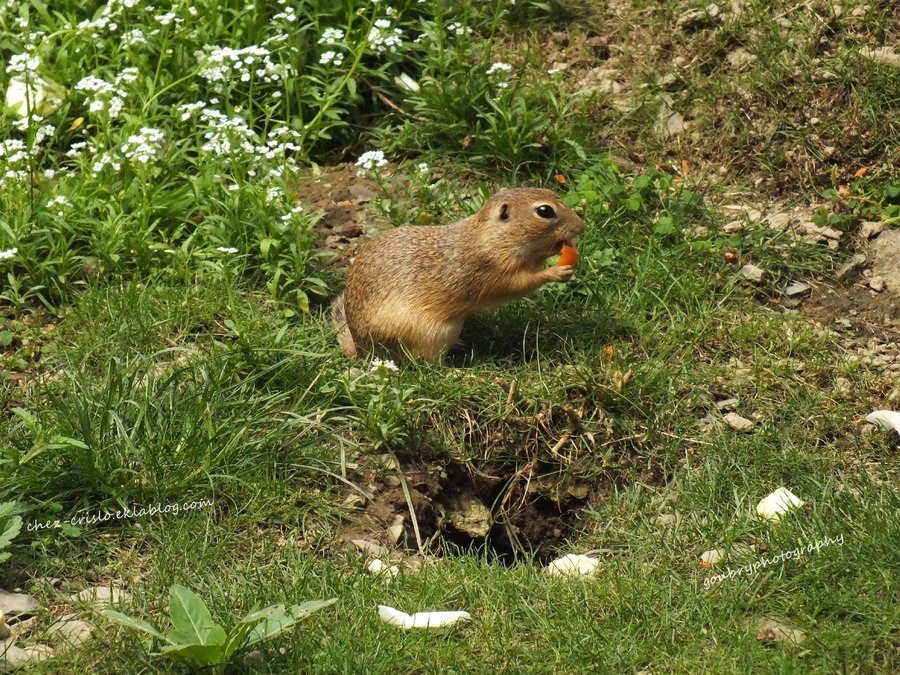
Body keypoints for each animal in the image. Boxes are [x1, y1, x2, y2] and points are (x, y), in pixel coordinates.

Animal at [334, 187, 588, 362]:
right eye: (545, 211)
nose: (582, 226)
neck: (491, 237)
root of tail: (365, 352)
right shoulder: (495, 272)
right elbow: (522, 283)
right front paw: (556, 271)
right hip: (431, 336)